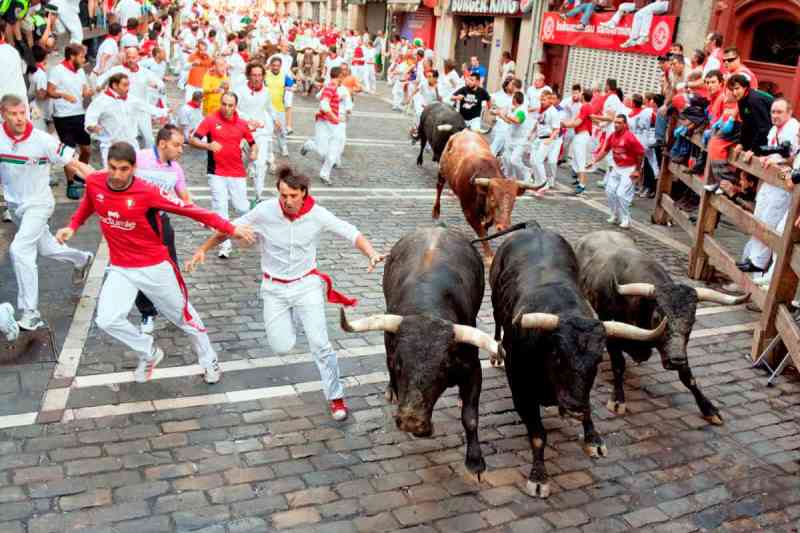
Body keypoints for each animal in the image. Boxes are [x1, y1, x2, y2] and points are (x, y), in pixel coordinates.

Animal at [340, 227, 504, 476]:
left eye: (443, 369)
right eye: (399, 364)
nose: (411, 420)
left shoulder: (473, 369)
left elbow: (470, 417)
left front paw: (475, 460)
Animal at [432, 129, 536, 258]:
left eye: (514, 201)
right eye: (492, 199)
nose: (504, 227)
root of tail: (464, 131)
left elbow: (487, 225)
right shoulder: (468, 211)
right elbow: (481, 231)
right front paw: (489, 255)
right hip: (442, 171)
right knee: (439, 187)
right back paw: (436, 212)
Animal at [488, 225, 668, 498]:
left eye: (597, 359)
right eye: (557, 355)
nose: (573, 405)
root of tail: (534, 227)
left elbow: (589, 408)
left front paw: (593, 438)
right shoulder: (520, 388)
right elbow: (538, 435)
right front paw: (539, 477)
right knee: (497, 320)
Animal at [576, 229, 752, 424]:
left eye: (692, 321)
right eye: (658, 317)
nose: (675, 360)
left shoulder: (679, 349)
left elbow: (688, 376)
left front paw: (708, 408)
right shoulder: (611, 332)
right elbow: (618, 365)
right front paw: (618, 400)